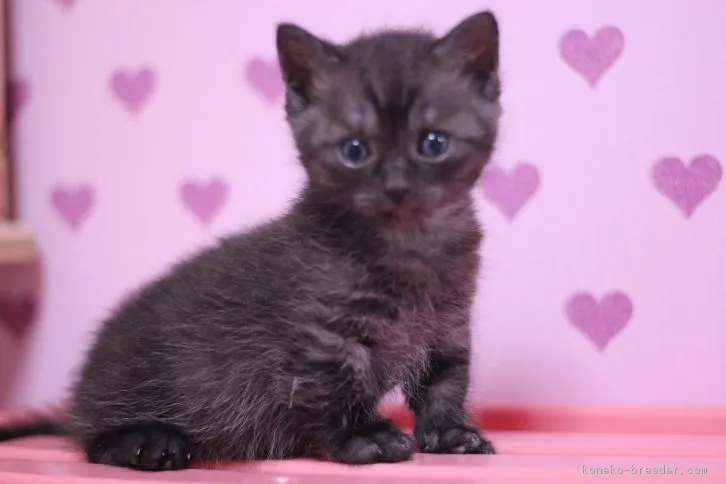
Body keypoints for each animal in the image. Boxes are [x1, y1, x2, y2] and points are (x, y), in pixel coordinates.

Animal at [0, 10, 500, 472]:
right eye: (355, 150)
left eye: (433, 143)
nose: (396, 185)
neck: (408, 244)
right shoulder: (325, 335)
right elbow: (338, 384)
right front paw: (364, 437)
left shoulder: (448, 324)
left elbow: (445, 380)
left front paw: (450, 433)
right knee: (93, 442)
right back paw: (149, 442)